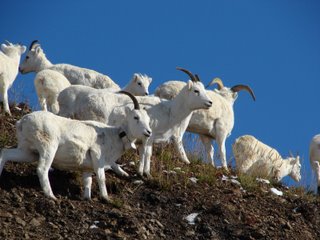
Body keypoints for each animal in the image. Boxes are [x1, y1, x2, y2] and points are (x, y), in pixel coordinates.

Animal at [0, 92, 152, 201]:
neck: (114, 135)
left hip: (28, 152)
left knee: (5, 153)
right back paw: (52, 196)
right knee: (42, 169)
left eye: (148, 120)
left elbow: (88, 182)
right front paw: (106, 198)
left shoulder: (87, 169)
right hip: (48, 149)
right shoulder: (98, 158)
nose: (148, 132)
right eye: (136, 117)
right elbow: (101, 178)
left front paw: (87, 199)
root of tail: (22, 122)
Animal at [57, 67, 212, 176]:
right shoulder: (149, 137)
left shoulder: (144, 139)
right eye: (196, 91)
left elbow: (144, 153)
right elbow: (147, 154)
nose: (210, 103)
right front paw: (146, 173)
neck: (170, 111)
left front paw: (141, 172)